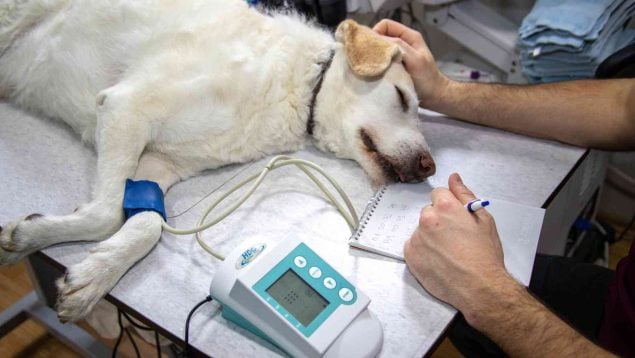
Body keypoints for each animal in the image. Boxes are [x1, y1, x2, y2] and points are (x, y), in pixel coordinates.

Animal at [0, 0, 438, 322]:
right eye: (402, 97)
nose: (430, 167)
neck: (299, 87)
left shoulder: (157, 165)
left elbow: (147, 224)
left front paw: (89, 273)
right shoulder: (126, 108)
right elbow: (107, 214)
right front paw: (37, 239)